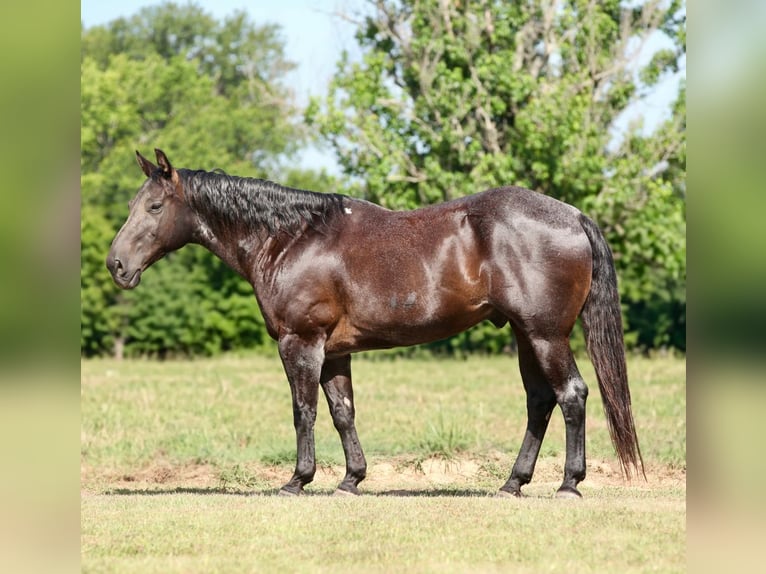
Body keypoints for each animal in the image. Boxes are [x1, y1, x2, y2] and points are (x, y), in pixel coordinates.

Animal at [106, 148, 643, 498]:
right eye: (132, 205)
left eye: (154, 206)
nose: (116, 265)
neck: (291, 238)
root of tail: (573, 215)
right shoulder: (334, 352)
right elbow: (343, 412)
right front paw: (350, 480)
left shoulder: (300, 343)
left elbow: (304, 411)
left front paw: (298, 480)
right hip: (525, 335)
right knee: (539, 403)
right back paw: (513, 483)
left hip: (545, 334)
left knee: (571, 395)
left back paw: (569, 484)